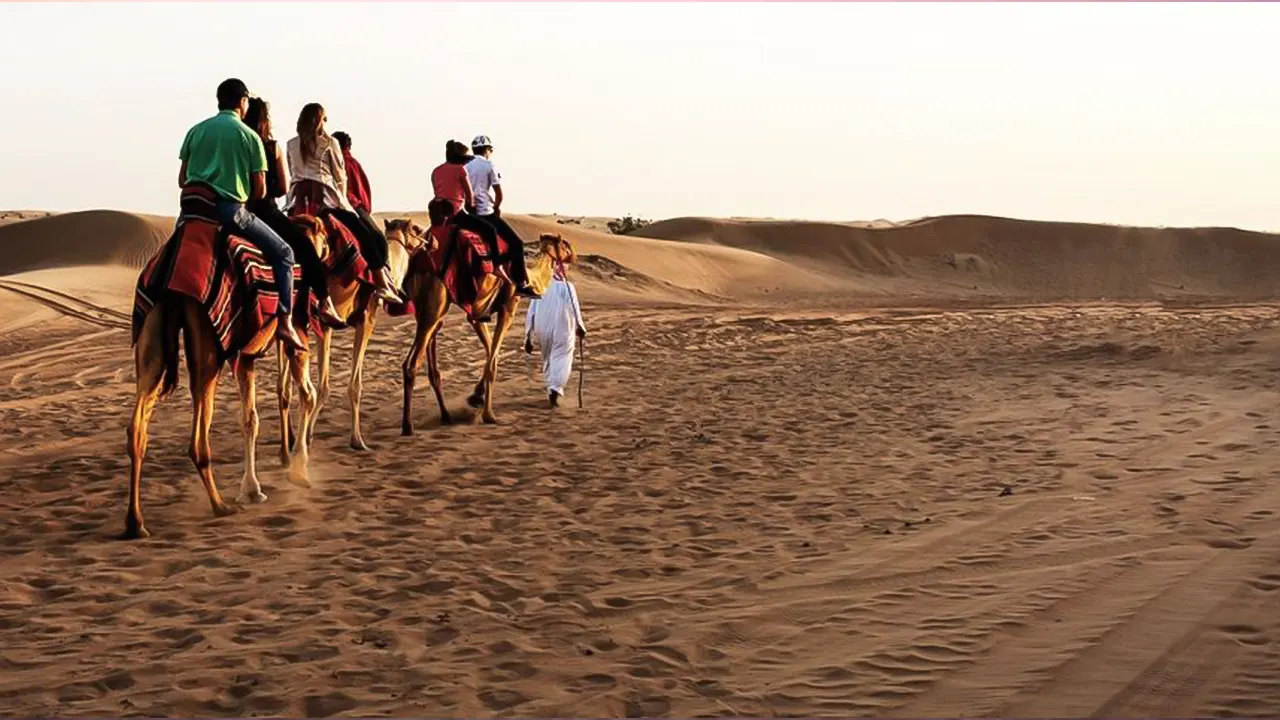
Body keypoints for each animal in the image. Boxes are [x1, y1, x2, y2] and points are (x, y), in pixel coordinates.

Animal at [123, 210, 330, 535]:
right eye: (323, 237)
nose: (327, 254)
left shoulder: (245, 357)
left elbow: (249, 419)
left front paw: (252, 488)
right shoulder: (296, 334)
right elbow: (306, 396)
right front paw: (298, 471)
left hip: (152, 332)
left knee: (137, 430)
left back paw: (136, 522)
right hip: (208, 351)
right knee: (197, 440)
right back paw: (220, 505)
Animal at [277, 213, 422, 458]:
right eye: (418, 230)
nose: (432, 240)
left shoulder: (325, 325)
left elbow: (322, 384)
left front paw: (307, 435)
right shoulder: (365, 319)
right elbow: (351, 385)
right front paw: (356, 440)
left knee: (282, 384)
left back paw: (287, 444)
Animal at [396, 198, 527, 427]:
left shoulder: (476, 311)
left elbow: (490, 351)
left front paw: (477, 397)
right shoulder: (508, 306)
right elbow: (493, 356)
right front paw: (486, 412)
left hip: (428, 310)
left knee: (422, 355)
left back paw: (443, 415)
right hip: (435, 307)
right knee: (412, 363)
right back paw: (408, 425)